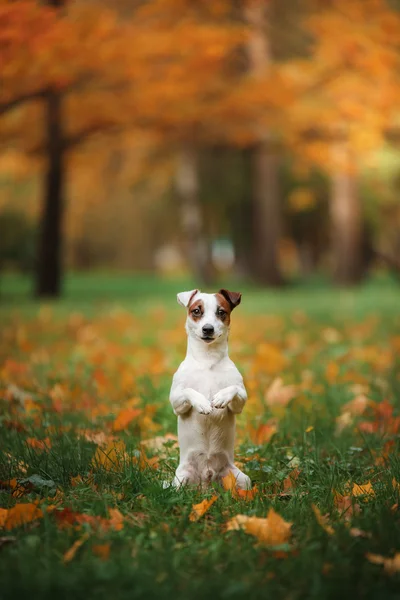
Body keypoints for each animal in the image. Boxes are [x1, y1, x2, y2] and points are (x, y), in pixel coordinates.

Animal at [169, 288, 250, 490]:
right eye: (196, 311)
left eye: (221, 312)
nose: (208, 329)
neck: (207, 360)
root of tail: (206, 482)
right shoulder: (176, 402)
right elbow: (188, 391)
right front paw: (202, 403)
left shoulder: (240, 402)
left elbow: (233, 389)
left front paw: (220, 397)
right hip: (180, 479)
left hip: (241, 478)